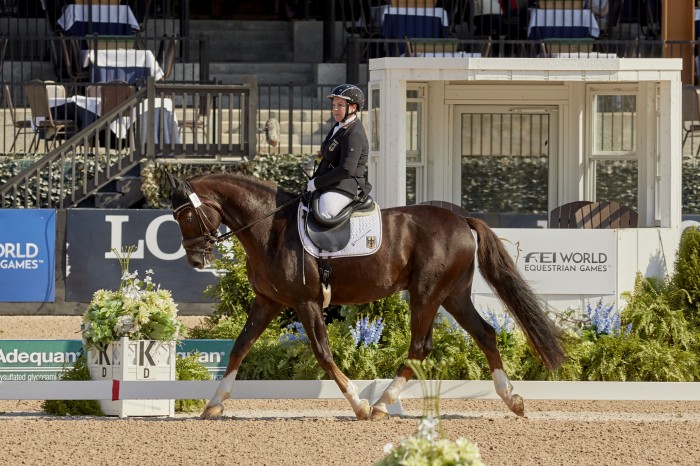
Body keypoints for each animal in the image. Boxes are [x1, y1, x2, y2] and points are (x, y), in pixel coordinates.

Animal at [167, 171, 568, 418]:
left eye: (184, 216)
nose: (195, 260)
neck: (270, 229)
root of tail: (461, 219)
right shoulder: (269, 302)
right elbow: (239, 346)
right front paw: (214, 404)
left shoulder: (306, 303)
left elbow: (323, 353)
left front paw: (358, 404)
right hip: (453, 294)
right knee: (485, 333)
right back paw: (512, 399)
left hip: (427, 294)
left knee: (420, 347)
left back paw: (381, 404)